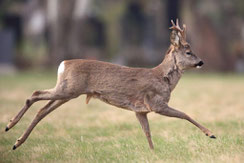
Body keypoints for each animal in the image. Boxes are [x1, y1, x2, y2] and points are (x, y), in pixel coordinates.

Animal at [5, 19, 215, 150]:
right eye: (188, 52)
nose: (202, 62)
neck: (163, 78)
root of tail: (63, 64)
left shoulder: (140, 110)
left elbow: (147, 133)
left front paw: (153, 153)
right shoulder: (156, 104)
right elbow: (185, 114)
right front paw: (210, 134)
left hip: (67, 92)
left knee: (42, 110)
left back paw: (16, 141)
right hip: (67, 89)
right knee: (35, 93)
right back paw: (9, 126)